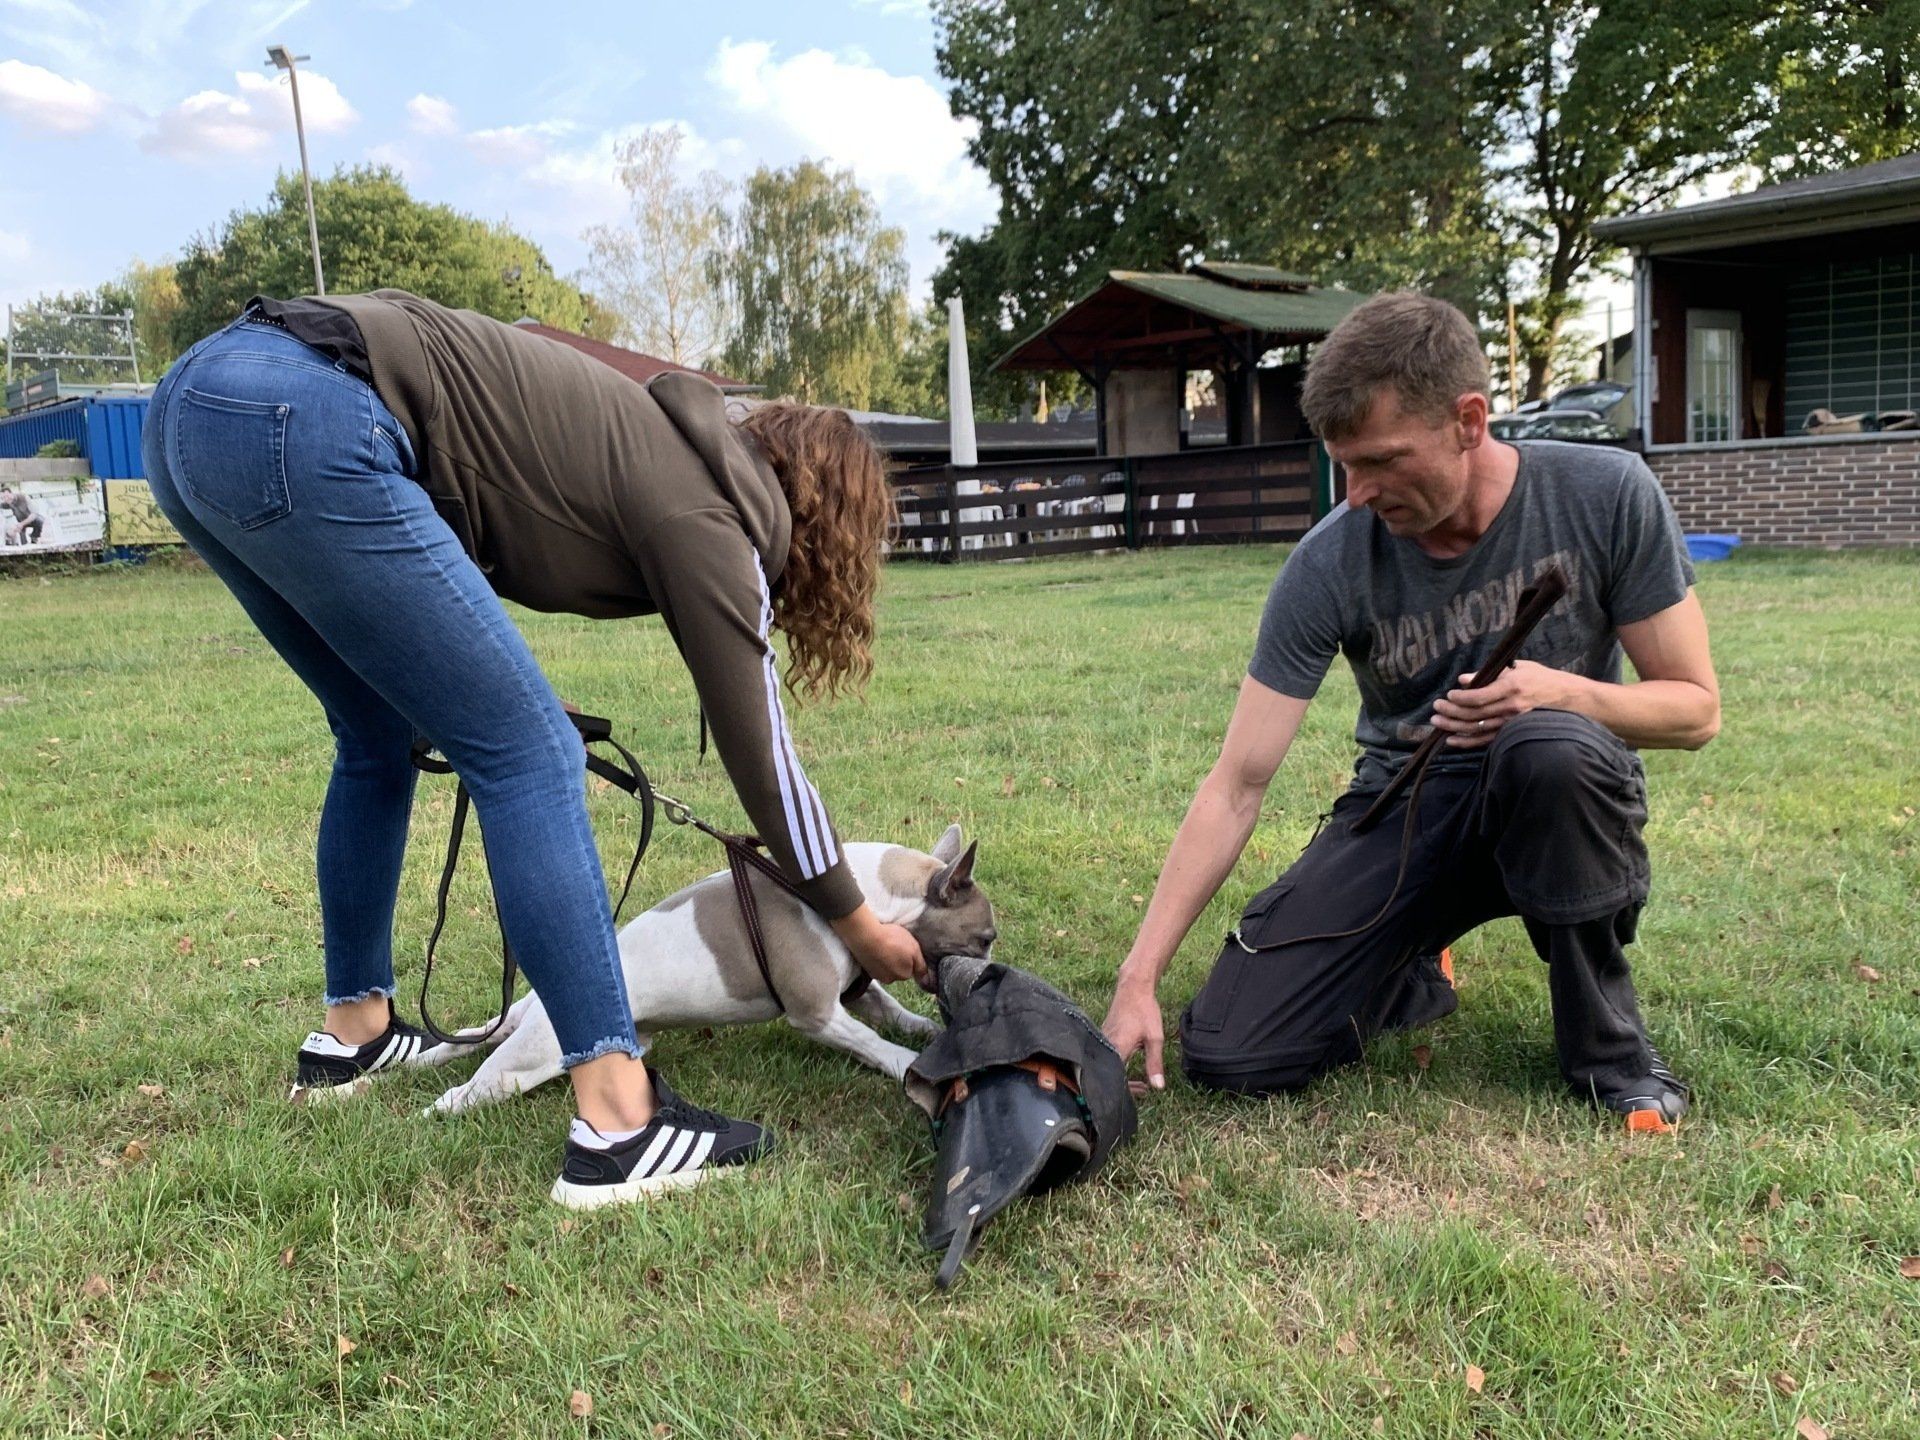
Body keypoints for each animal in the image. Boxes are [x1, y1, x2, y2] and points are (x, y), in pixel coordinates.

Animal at [420, 825, 996, 1113]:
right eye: (986, 939)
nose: (990, 972)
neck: (870, 896)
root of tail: (544, 1000)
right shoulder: (817, 1013)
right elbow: (872, 1042)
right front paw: (907, 1062)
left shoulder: (856, 989)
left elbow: (891, 1011)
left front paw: (924, 1030)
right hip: (530, 1061)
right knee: (466, 1093)